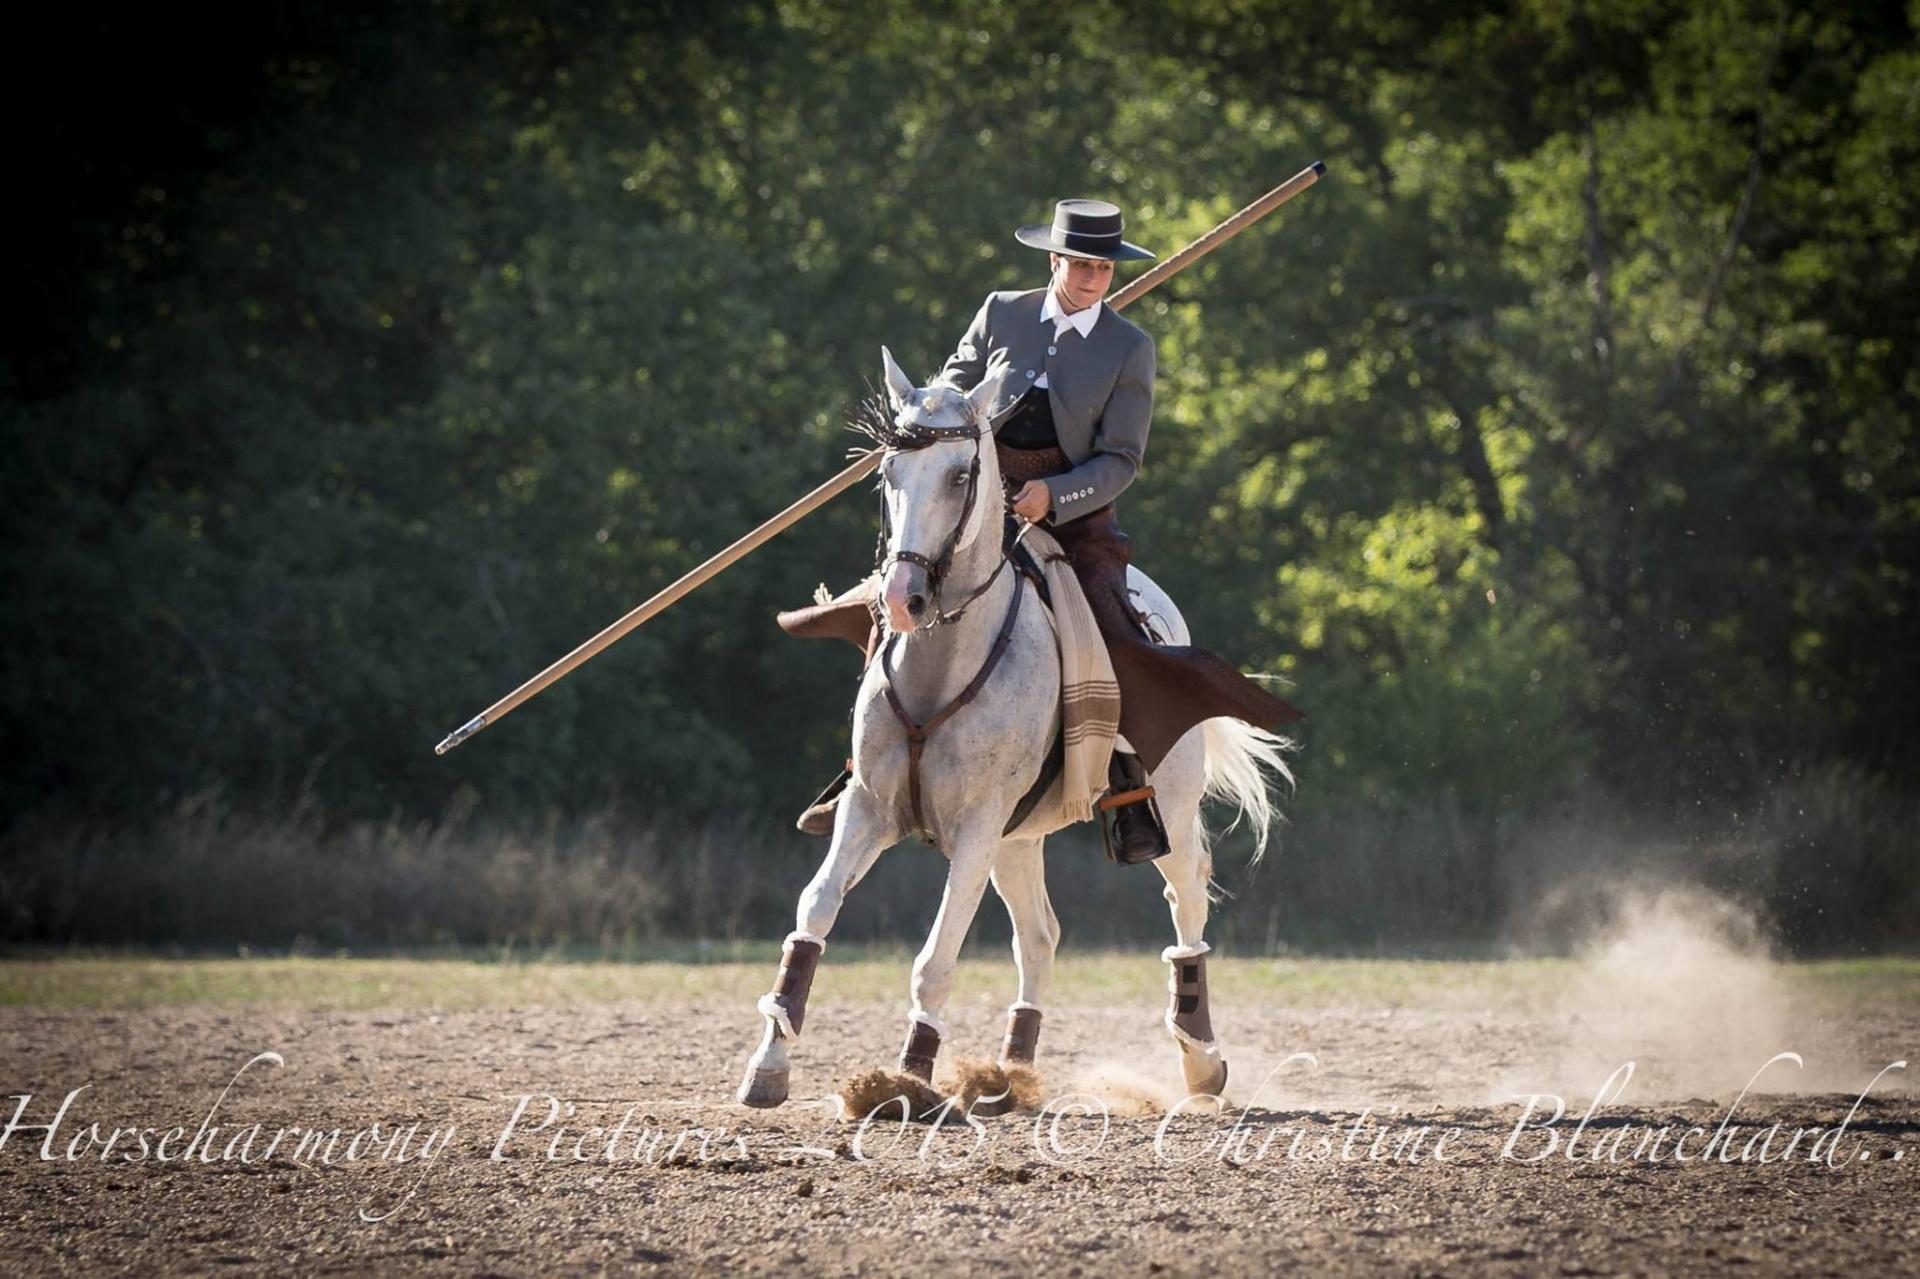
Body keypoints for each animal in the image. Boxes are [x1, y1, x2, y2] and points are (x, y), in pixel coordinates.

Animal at [733, 349, 1290, 1106]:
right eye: (888, 474)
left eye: (960, 475)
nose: (902, 599)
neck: (942, 663)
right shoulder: (869, 809)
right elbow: (814, 910)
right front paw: (769, 1062)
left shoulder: (975, 827)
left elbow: (936, 958)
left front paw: (909, 1079)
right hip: (1018, 839)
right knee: (1040, 936)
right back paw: (1010, 1073)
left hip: (1164, 808)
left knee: (1186, 900)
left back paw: (1202, 1060)